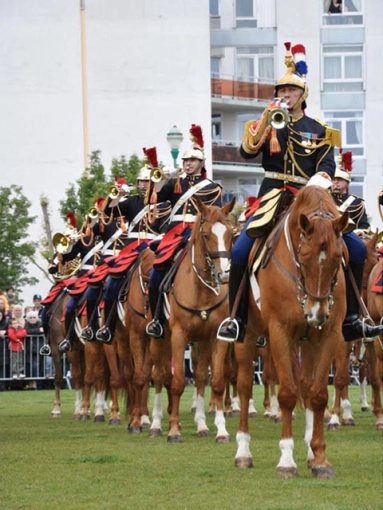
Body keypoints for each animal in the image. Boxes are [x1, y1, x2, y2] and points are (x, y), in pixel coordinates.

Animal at [151, 197, 237, 444]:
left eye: (231, 234)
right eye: (206, 235)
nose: (224, 276)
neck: (202, 289)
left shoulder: (217, 337)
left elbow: (215, 382)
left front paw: (221, 430)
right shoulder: (179, 336)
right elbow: (178, 382)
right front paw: (173, 431)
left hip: (202, 341)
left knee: (199, 377)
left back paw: (201, 425)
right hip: (159, 339)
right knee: (159, 376)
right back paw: (155, 424)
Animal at [236, 186, 350, 478]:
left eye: (338, 258)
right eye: (304, 257)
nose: (316, 313)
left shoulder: (329, 335)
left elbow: (318, 394)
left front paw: (319, 458)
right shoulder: (280, 333)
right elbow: (286, 393)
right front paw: (286, 460)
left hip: (308, 342)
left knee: (307, 387)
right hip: (247, 336)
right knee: (244, 386)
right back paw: (243, 452)